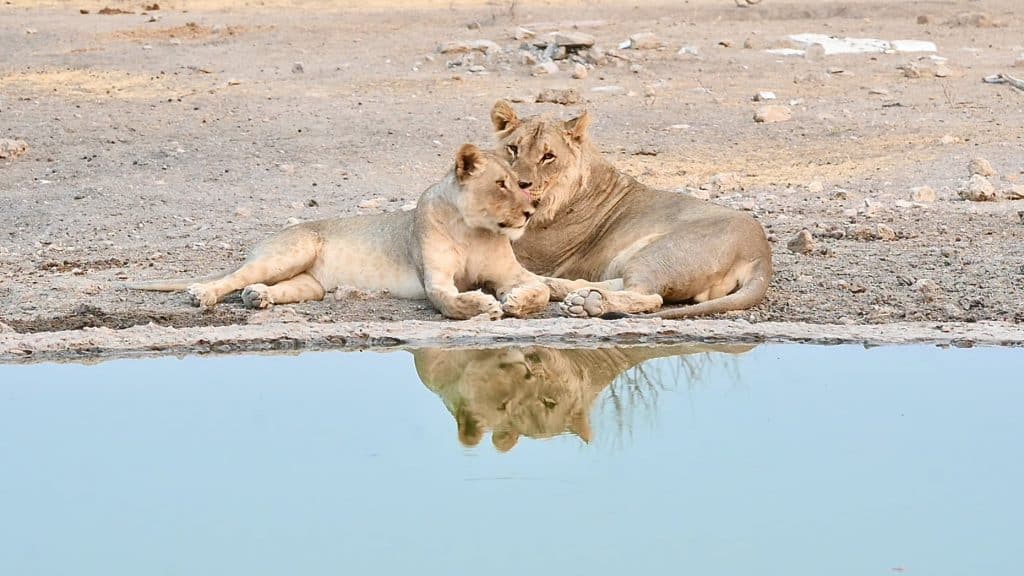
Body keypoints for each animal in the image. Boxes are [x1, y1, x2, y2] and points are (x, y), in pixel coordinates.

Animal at [128, 144, 600, 320]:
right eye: (501, 184)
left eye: (521, 182)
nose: (530, 211)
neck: (475, 229)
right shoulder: (434, 280)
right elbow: (450, 300)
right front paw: (481, 304)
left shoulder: (511, 272)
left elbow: (539, 287)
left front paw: (519, 301)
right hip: (290, 251)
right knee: (232, 277)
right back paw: (204, 294)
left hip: (308, 284)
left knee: (270, 287)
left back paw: (257, 298)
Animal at [489, 100, 773, 319]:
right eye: (513, 149)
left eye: (548, 156)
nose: (520, 183)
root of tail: (760, 252)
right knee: (615, 284)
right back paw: (561, 289)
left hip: (658, 254)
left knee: (650, 297)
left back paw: (587, 303)